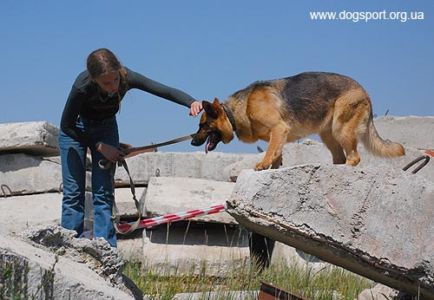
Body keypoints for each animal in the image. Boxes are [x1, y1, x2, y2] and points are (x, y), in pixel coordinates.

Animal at [192, 72, 406, 170]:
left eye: (203, 125)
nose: (192, 141)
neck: (237, 111)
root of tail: (364, 90)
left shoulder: (279, 129)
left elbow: (270, 151)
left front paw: (263, 164)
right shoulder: (278, 135)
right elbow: (276, 154)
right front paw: (273, 168)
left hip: (341, 129)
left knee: (353, 157)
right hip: (328, 135)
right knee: (340, 156)